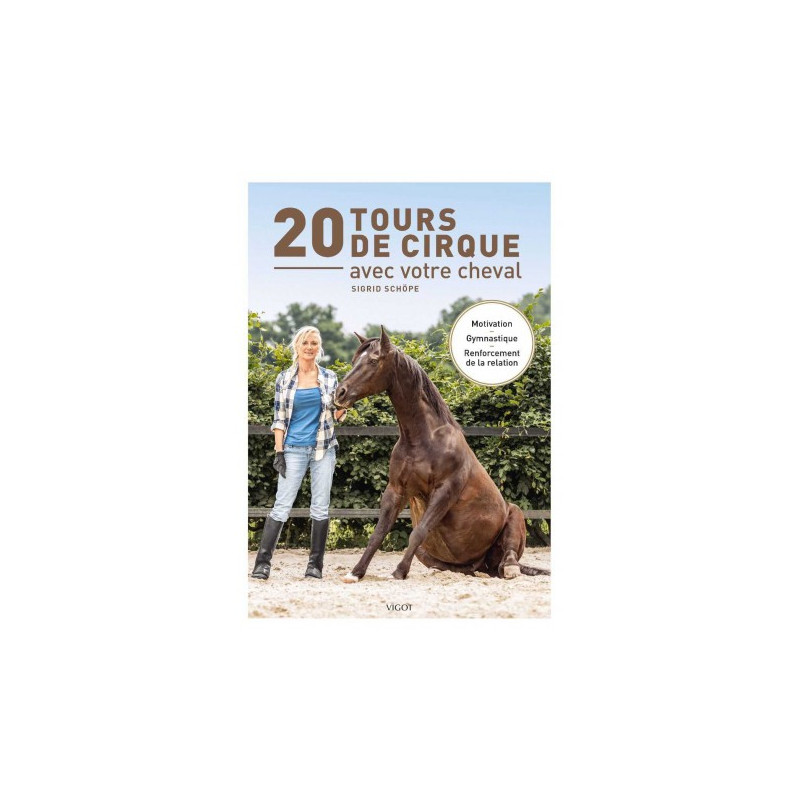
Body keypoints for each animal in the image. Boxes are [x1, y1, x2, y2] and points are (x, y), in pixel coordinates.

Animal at [333, 327, 550, 582]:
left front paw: (398, 572)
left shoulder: (445, 491)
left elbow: (418, 532)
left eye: (374, 361)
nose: (339, 393)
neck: (423, 440)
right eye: (355, 360)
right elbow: (378, 533)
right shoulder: (396, 490)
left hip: (515, 514)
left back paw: (510, 568)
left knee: (508, 557)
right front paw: (355, 573)